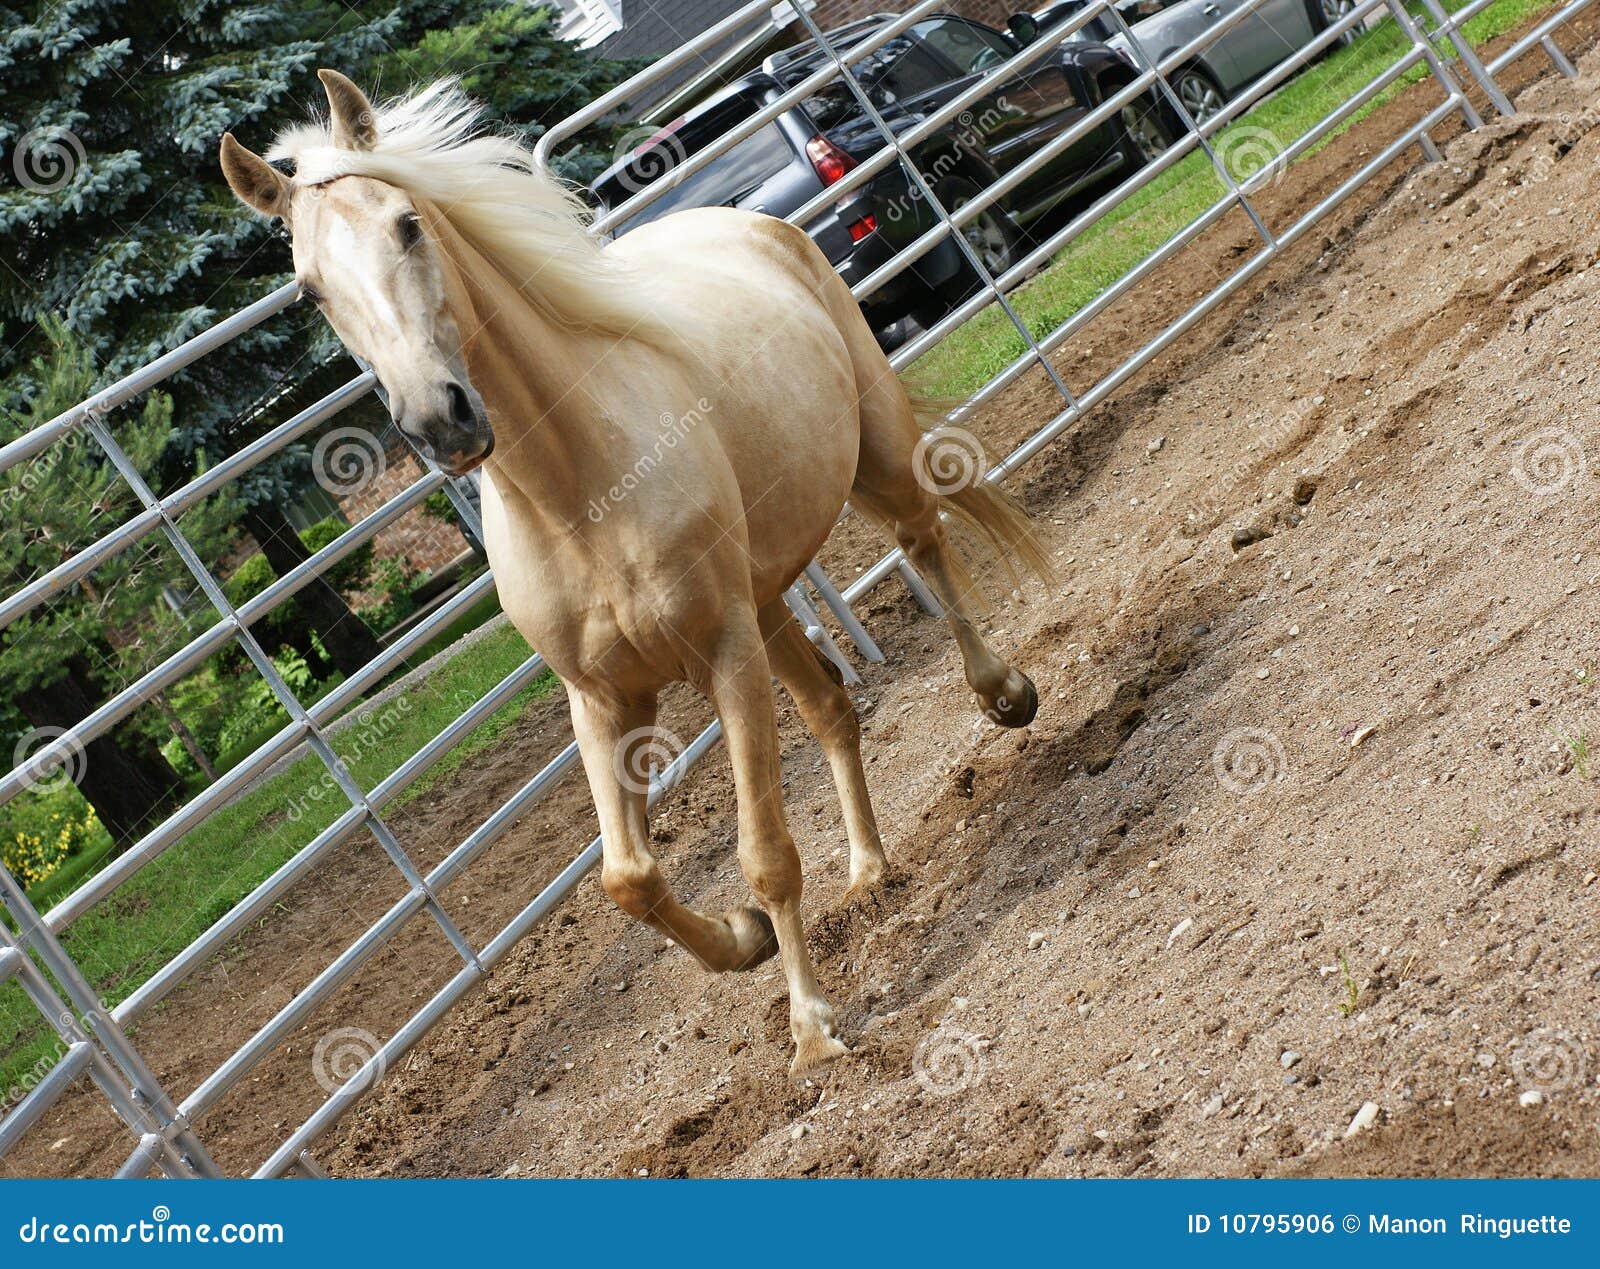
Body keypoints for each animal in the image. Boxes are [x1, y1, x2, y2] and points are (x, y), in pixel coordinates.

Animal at [225, 74, 1049, 1068]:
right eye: (309, 288)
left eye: (407, 224)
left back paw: (1005, 694)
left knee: (926, 542)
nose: (438, 421)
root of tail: (742, 221)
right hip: (766, 598)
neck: (579, 492)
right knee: (831, 707)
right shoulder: (605, 697)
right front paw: (743, 941)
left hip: (873, 463)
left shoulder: (725, 654)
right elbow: (628, 879)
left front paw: (811, 1029)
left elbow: (765, 851)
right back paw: (867, 869)